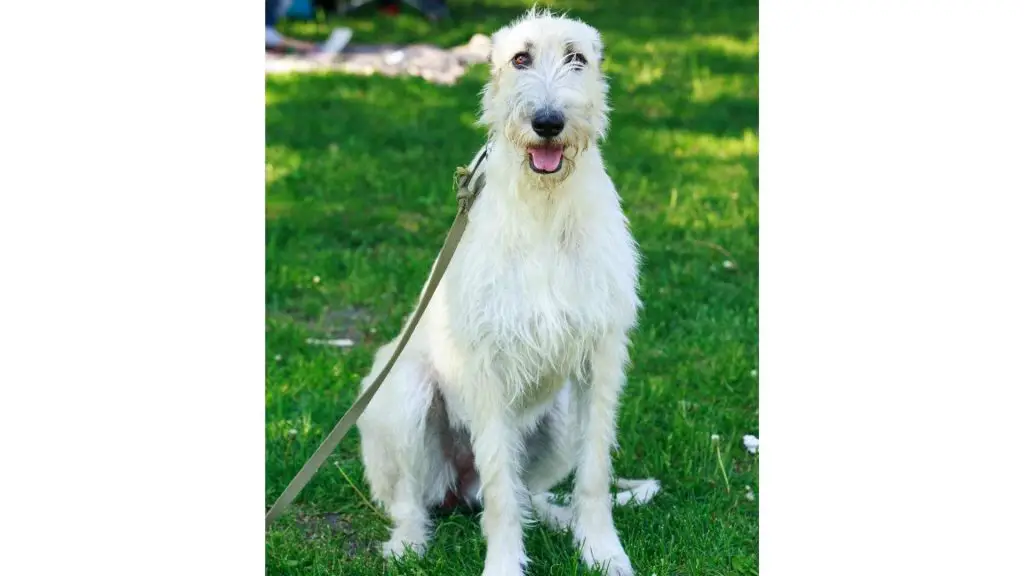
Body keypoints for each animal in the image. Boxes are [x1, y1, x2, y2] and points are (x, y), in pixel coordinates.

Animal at [356, 8, 659, 573]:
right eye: (520, 58)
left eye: (576, 58)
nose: (548, 122)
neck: (544, 203)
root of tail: (458, 487)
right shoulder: (486, 366)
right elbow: (500, 488)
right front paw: (503, 562)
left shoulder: (601, 355)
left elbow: (593, 472)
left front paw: (602, 551)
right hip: (401, 398)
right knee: (414, 502)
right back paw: (408, 543)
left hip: (558, 419)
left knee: (530, 493)